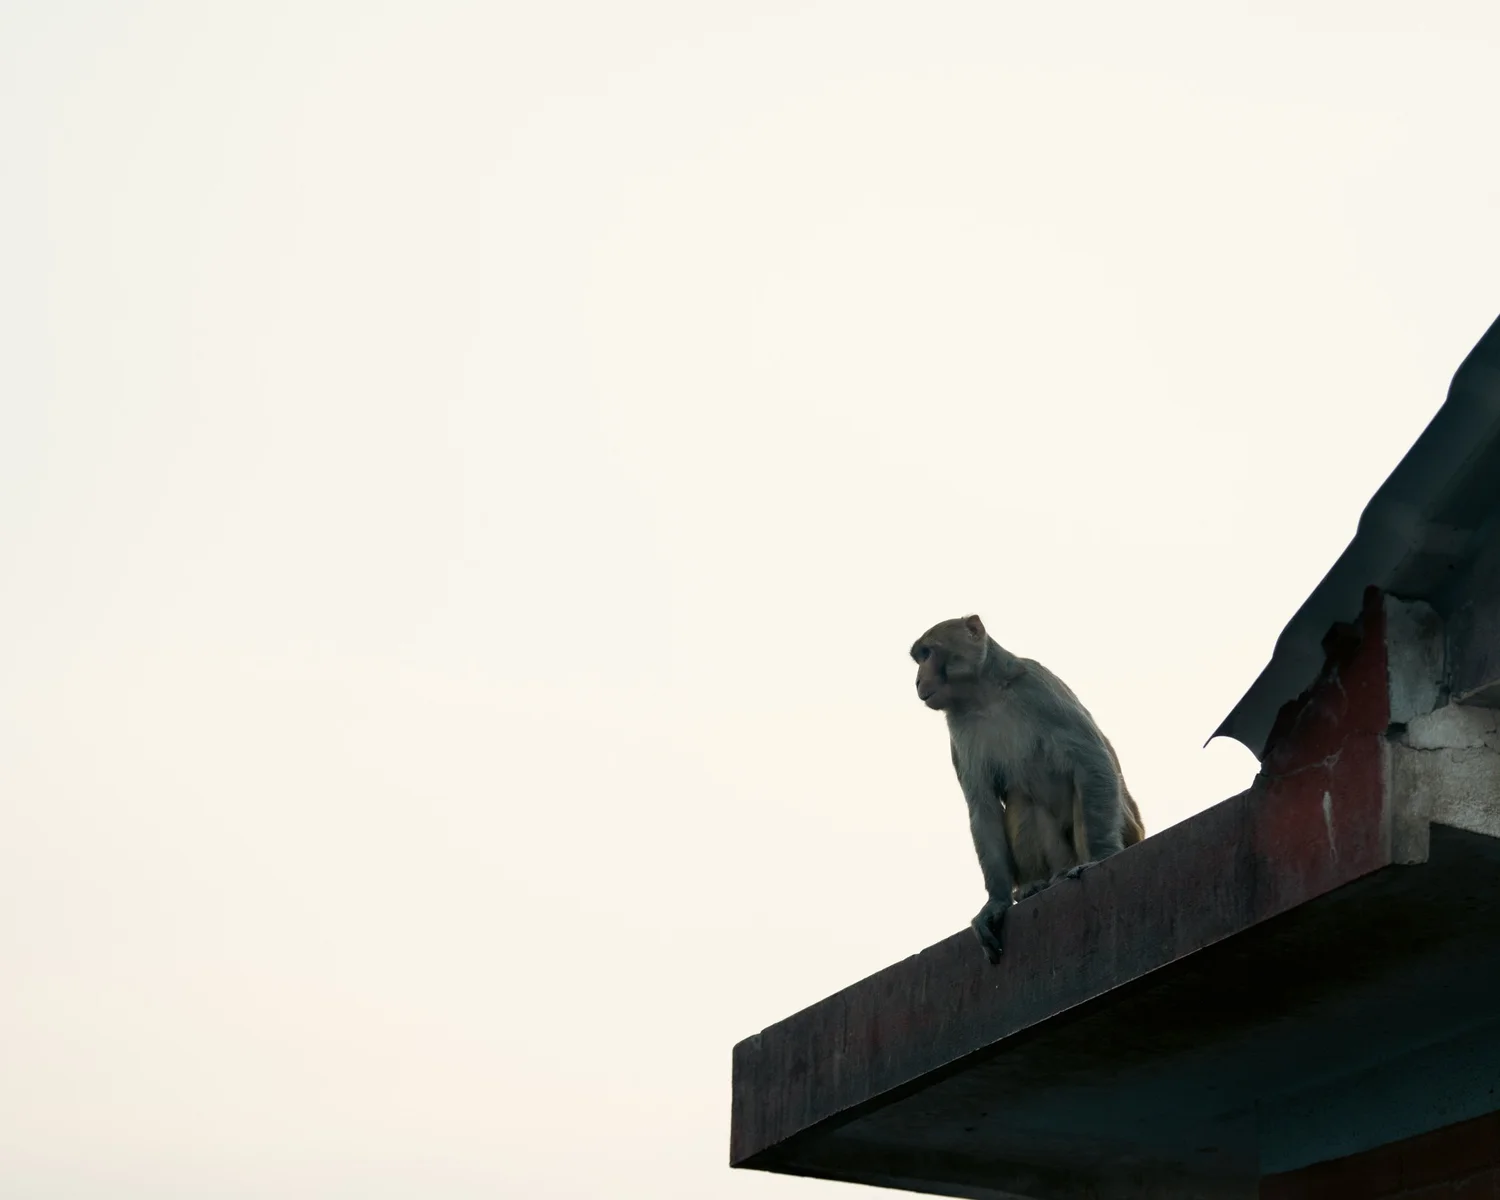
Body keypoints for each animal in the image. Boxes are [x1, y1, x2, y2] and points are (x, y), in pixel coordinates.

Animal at [910, 614, 1143, 963]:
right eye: (919, 657)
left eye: (928, 653)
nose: (917, 680)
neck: (984, 694)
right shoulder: (959, 730)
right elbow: (983, 806)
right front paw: (996, 901)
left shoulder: (1038, 685)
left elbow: (1091, 760)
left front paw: (1103, 856)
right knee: (1025, 805)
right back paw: (1036, 884)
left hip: (1127, 830)